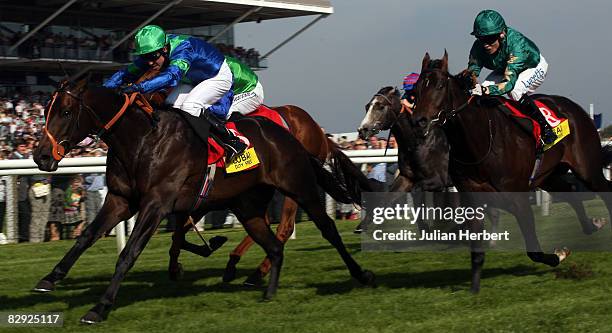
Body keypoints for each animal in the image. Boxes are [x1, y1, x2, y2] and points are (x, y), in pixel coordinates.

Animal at [35, 80, 376, 322]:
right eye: (45, 111)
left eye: (65, 112)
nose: (40, 156)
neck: (142, 139)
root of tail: (297, 133)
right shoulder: (121, 200)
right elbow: (87, 236)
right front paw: (50, 278)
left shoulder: (157, 203)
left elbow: (129, 253)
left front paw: (100, 307)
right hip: (247, 206)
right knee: (274, 243)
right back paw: (261, 285)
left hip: (299, 187)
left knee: (321, 228)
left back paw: (361, 273)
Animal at [406, 51, 612, 290]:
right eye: (416, 90)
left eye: (439, 85)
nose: (419, 122)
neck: (479, 142)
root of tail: (575, 108)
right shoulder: (473, 200)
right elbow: (476, 253)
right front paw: (474, 289)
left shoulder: (518, 199)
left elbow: (534, 250)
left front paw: (559, 255)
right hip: (548, 176)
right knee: (570, 191)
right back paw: (592, 225)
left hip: (587, 169)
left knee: (604, 190)